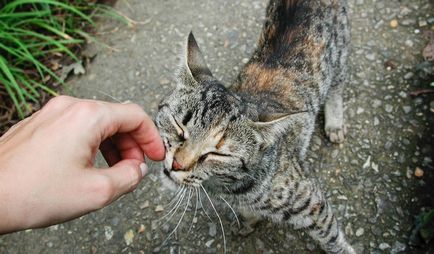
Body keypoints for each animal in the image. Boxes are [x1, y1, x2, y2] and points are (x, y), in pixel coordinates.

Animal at [154, 0, 354, 253]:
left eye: (218, 153)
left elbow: (332, 237)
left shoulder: (311, 202)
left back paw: (335, 121)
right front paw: (249, 221)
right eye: (180, 127)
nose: (177, 164)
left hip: (340, 51)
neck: (230, 187)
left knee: (337, 83)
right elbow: (249, 213)